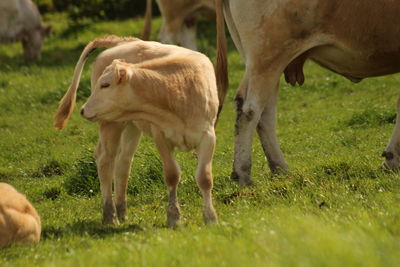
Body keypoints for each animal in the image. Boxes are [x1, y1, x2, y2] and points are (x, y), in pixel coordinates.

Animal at [54, 35, 222, 227]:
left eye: (105, 85)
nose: (82, 110)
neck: (178, 90)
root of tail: (124, 42)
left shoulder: (208, 135)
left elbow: (204, 177)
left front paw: (210, 217)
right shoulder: (161, 137)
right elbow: (172, 175)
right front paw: (174, 216)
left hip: (131, 126)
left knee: (123, 163)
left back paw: (121, 211)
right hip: (110, 123)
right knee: (105, 161)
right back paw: (110, 215)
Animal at [214, 0, 400, 185]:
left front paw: (392, 160)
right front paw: (392, 161)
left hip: (258, 60)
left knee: (263, 113)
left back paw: (281, 170)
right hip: (267, 56)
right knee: (250, 110)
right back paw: (243, 174)